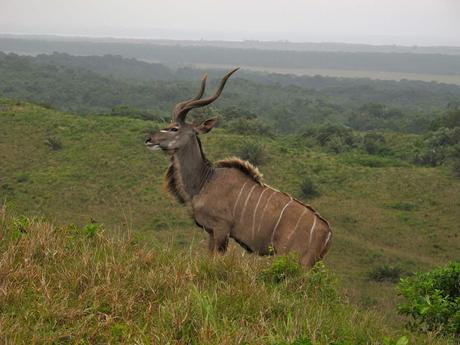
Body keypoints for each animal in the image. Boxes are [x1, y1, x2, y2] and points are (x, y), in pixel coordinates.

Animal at [146, 68, 332, 268]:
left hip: (298, 261)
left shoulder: (221, 229)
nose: (149, 139)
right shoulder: (211, 231)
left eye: (174, 128)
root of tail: (328, 233)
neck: (205, 181)